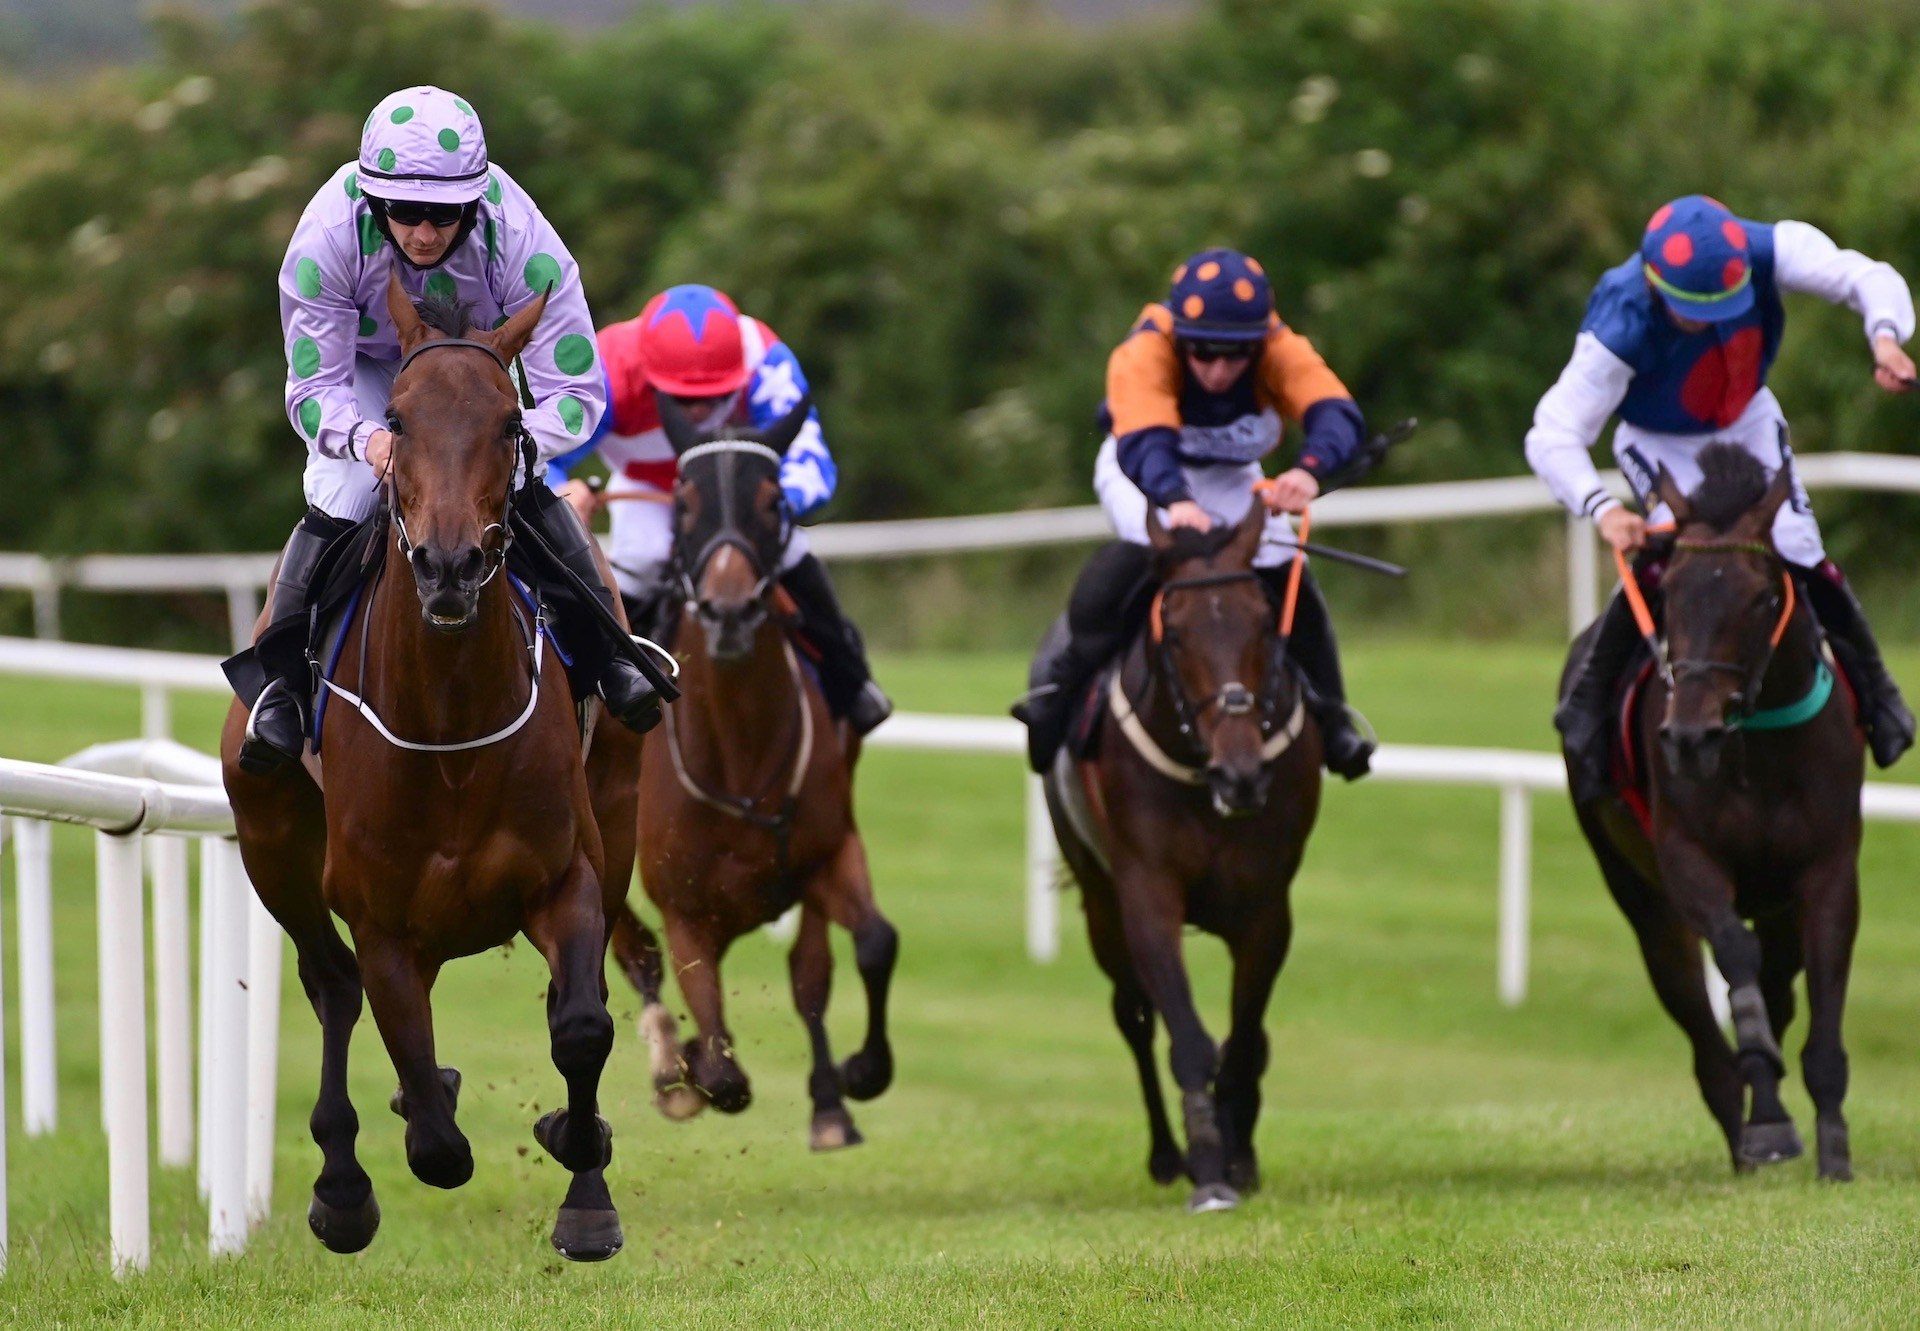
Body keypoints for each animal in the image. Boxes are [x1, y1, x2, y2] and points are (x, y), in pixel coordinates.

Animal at [217, 278, 637, 1259]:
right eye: (398, 420)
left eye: (512, 420)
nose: (449, 564)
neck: (450, 722)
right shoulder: (380, 918)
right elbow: (433, 1129)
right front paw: (406, 1132)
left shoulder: (566, 872)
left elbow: (583, 1024)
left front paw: (583, 1180)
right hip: (271, 844)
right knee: (332, 987)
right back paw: (342, 1183)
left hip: (622, 806)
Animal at [606, 399, 898, 1144]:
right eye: (684, 502)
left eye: (773, 501)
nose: (730, 610)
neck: (740, 754)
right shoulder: (684, 906)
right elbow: (720, 1067)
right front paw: (688, 1066)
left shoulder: (826, 851)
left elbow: (869, 945)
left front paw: (856, 1076)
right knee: (634, 951)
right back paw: (669, 1068)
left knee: (811, 970)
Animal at [1044, 503, 1328, 1206]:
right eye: (1174, 635)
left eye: (1264, 622)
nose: (1242, 776)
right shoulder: (1146, 893)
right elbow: (1188, 1037)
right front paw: (1206, 1162)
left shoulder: (1266, 907)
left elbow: (1246, 1040)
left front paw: (1238, 1151)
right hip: (1099, 902)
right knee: (1134, 1017)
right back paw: (1166, 1154)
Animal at [1566, 443, 1866, 1175]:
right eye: (1668, 591)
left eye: (1762, 597)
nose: (1688, 736)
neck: (1759, 748)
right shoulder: (1685, 856)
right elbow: (1734, 957)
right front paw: (1769, 1122)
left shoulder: (1828, 868)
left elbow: (1820, 988)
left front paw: (1833, 1148)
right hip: (1637, 890)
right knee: (1695, 1003)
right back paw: (1743, 1126)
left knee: (1781, 979)